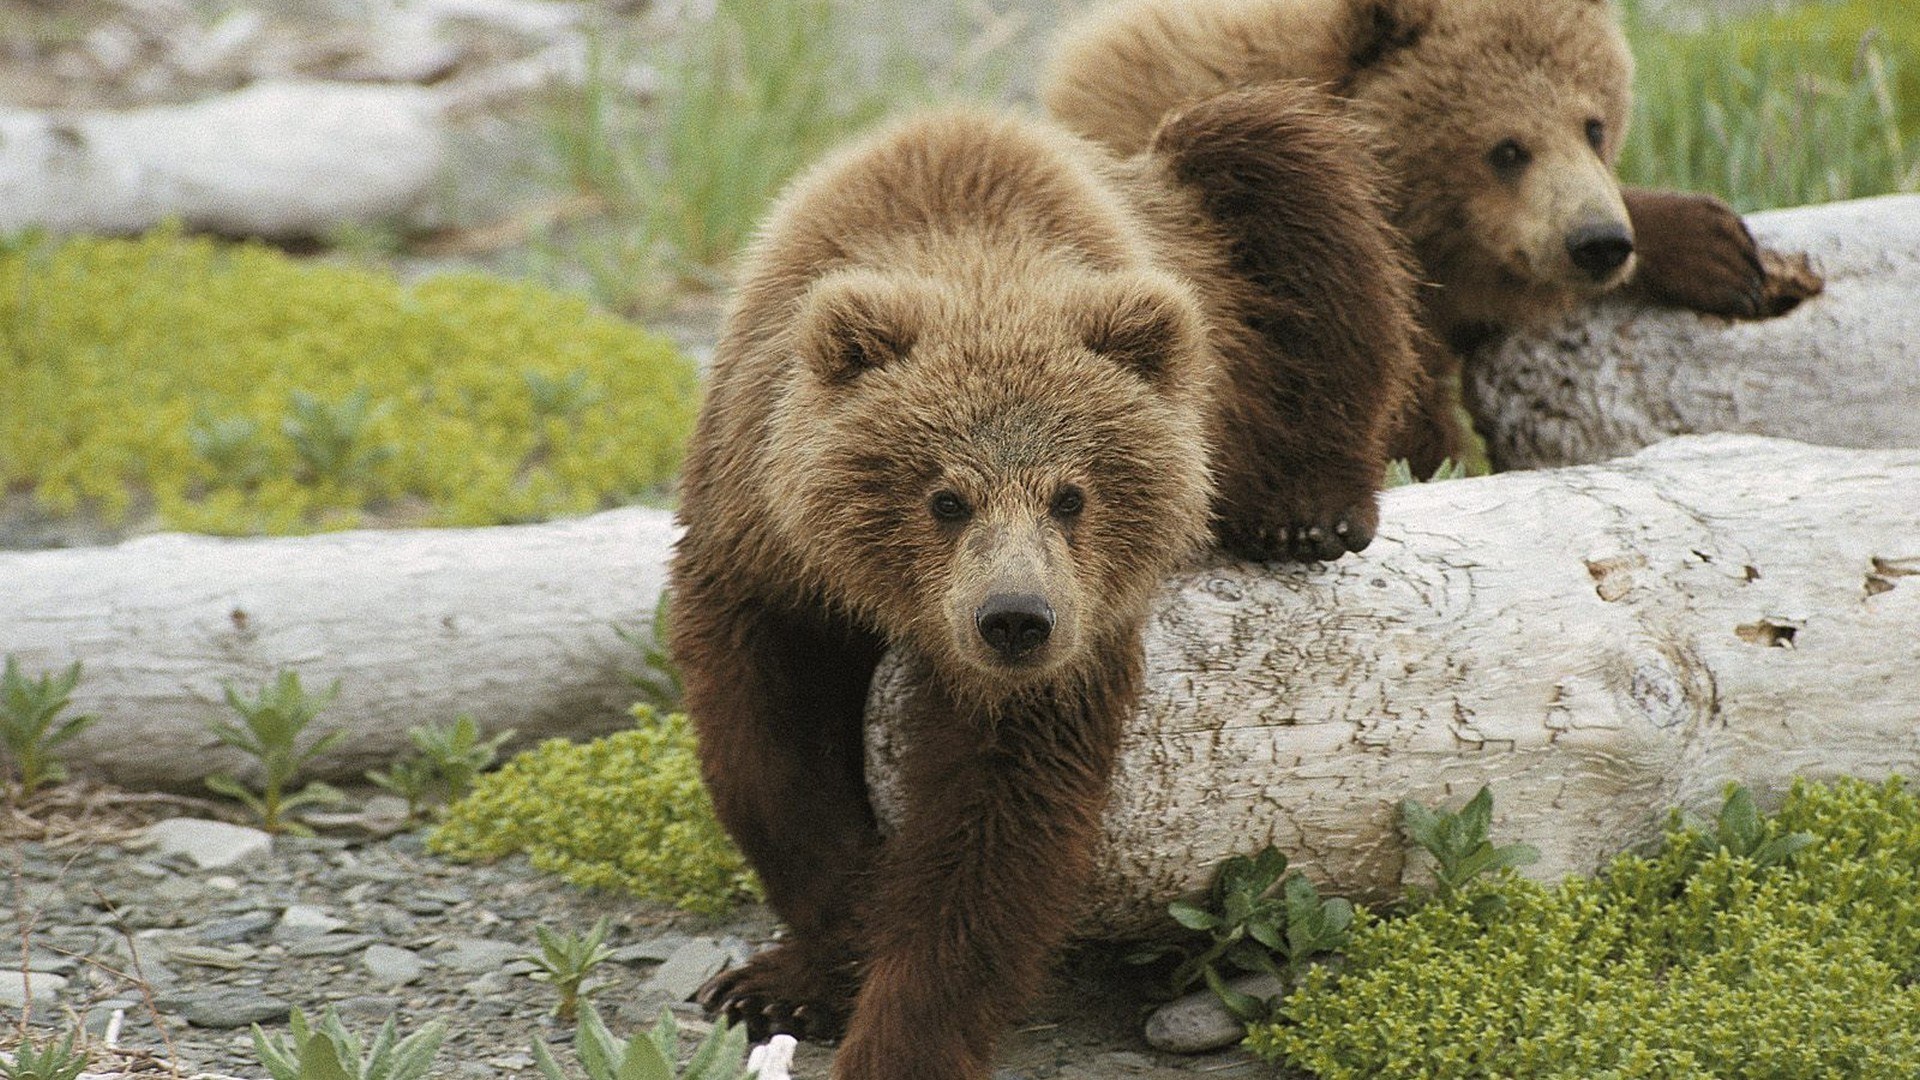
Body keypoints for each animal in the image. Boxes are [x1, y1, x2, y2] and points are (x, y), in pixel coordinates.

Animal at [669, 90, 1419, 1080]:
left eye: (1073, 495)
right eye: (945, 497)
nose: (1015, 619)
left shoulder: (1069, 642)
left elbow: (998, 821)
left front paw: (901, 1033)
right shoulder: (758, 537)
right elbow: (769, 751)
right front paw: (799, 966)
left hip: (1215, 250)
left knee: (1287, 179)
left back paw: (1305, 509)